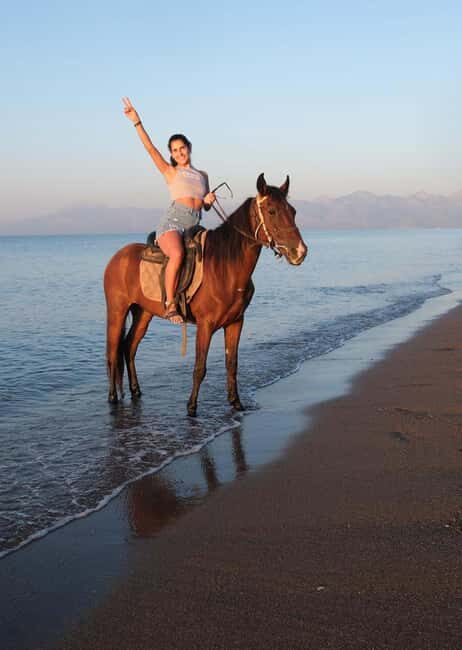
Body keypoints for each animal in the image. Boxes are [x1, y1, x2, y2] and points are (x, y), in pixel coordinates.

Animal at [104, 173, 307, 416]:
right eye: (272, 210)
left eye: (293, 211)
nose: (300, 252)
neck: (225, 268)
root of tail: (117, 258)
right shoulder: (206, 325)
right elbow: (200, 367)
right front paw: (191, 408)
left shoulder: (236, 322)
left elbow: (232, 364)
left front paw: (236, 403)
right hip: (117, 312)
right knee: (112, 353)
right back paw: (113, 397)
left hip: (144, 313)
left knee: (129, 347)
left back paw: (135, 390)